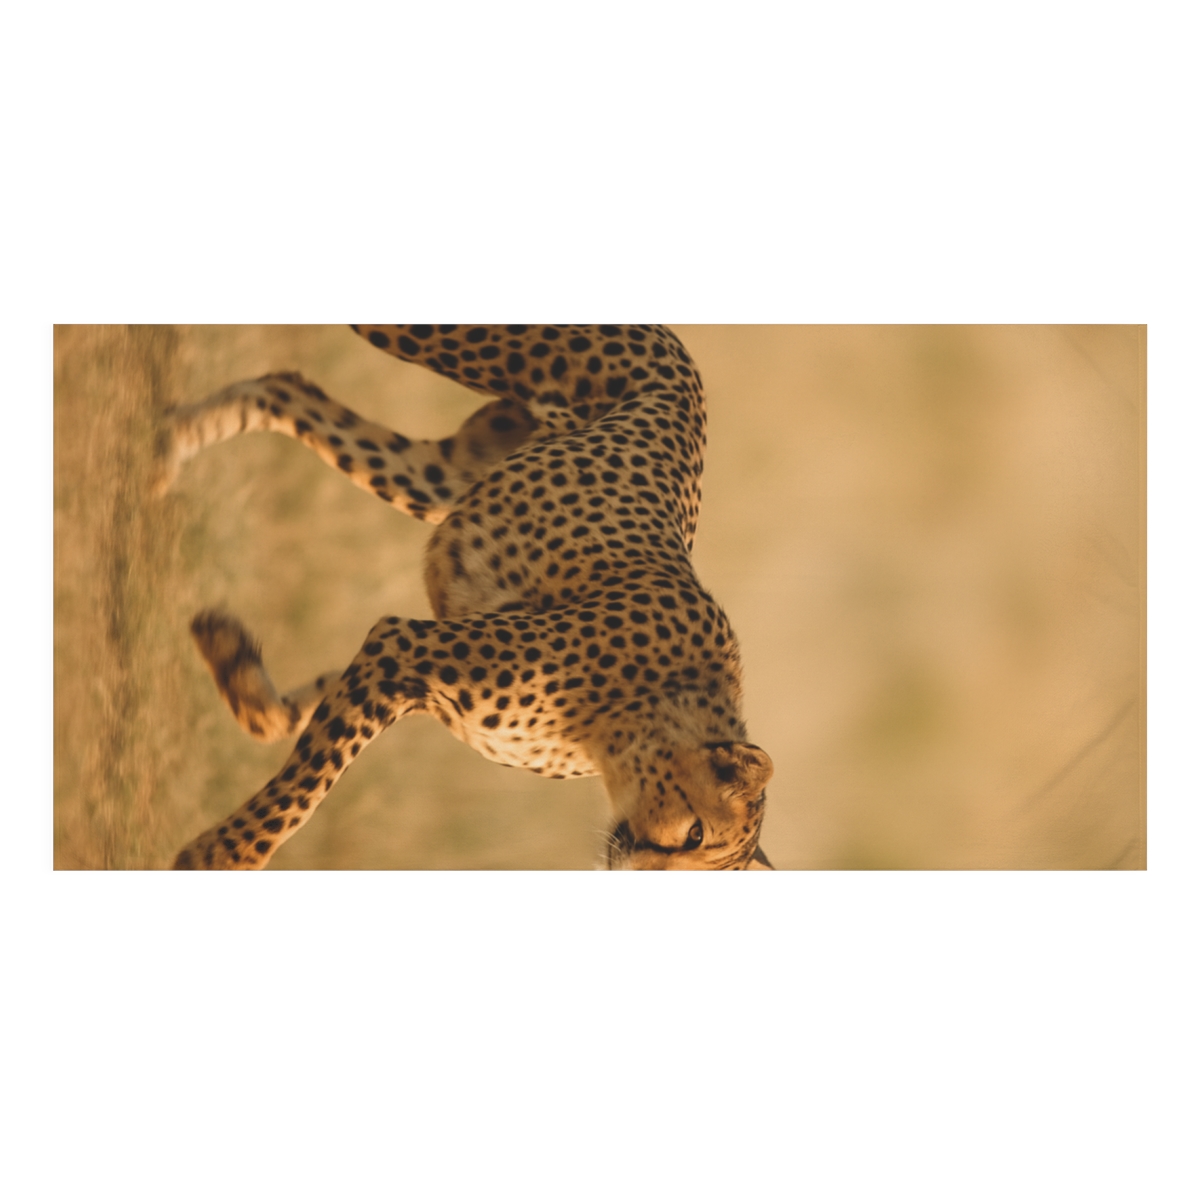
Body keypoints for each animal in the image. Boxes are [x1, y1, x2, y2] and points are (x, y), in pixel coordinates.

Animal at [158, 324, 774, 870]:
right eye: (696, 834)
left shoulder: (418, 667)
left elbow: (295, 718)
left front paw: (234, 661)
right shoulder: (406, 648)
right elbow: (308, 789)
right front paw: (222, 856)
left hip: (436, 477)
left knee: (286, 389)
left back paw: (169, 442)